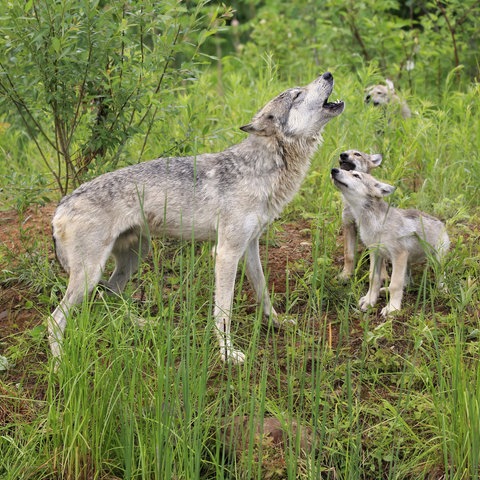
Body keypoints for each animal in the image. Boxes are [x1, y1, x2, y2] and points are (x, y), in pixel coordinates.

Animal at [49, 71, 344, 364]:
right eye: (296, 94)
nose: (329, 73)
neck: (261, 170)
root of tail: (61, 205)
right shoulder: (225, 253)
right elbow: (223, 312)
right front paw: (227, 353)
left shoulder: (250, 247)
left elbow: (264, 293)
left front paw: (277, 323)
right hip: (91, 274)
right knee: (55, 320)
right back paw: (60, 364)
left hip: (135, 255)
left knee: (109, 295)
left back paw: (142, 323)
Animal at [330, 167, 450, 316]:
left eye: (356, 175)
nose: (334, 170)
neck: (375, 221)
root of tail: (441, 223)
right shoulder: (375, 253)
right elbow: (374, 279)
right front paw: (370, 301)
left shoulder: (399, 254)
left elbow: (395, 284)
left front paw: (392, 308)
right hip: (406, 262)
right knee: (407, 283)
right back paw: (384, 291)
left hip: (436, 260)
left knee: (440, 277)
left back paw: (443, 291)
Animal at [338, 150, 382, 284]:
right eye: (345, 152)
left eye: (357, 154)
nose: (342, 155)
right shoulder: (348, 225)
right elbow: (349, 255)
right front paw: (346, 274)